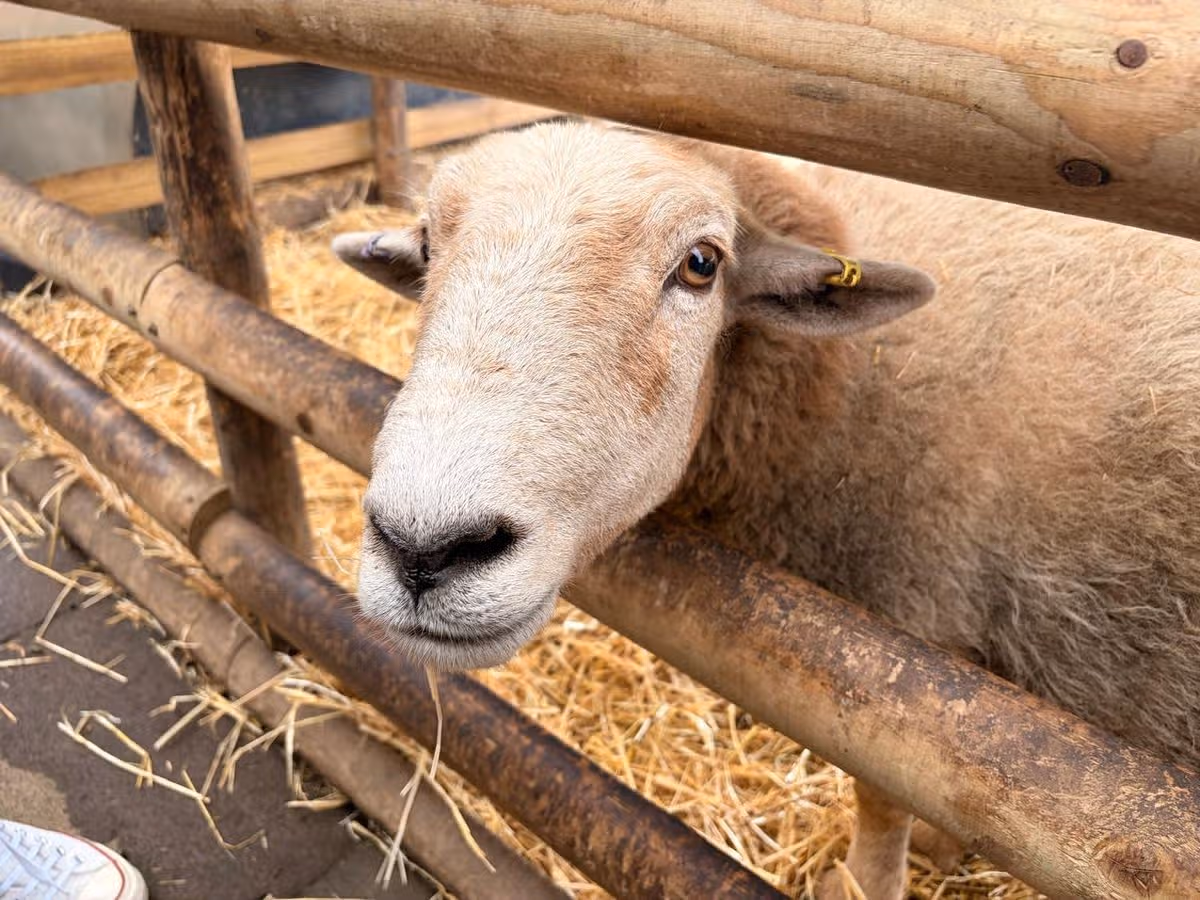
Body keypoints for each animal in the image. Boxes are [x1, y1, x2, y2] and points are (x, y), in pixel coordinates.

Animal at [332, 121, 1200, 899]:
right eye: (428, 247)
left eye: (701, 264)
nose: (423, 547)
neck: (847, 388)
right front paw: (946, 847)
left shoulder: (917, 653)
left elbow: (886, 794)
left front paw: (874, 880)